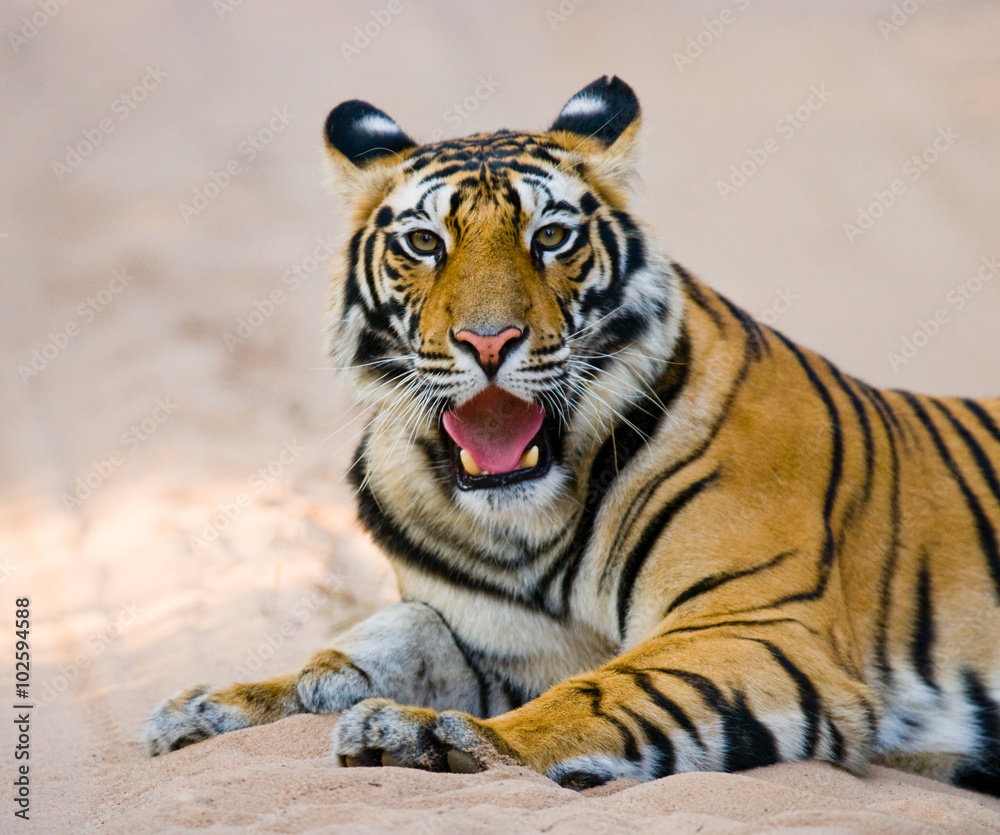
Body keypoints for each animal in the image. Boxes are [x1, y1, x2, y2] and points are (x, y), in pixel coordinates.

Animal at [144, 76, 1000, 795]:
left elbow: (608, 691)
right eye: (424, 244)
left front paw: (440, 737)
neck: (525, 528)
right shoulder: (497, 637)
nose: (489, 341)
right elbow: (378, 642)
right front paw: (210, 708)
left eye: (551, 237)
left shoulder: (756, 622)